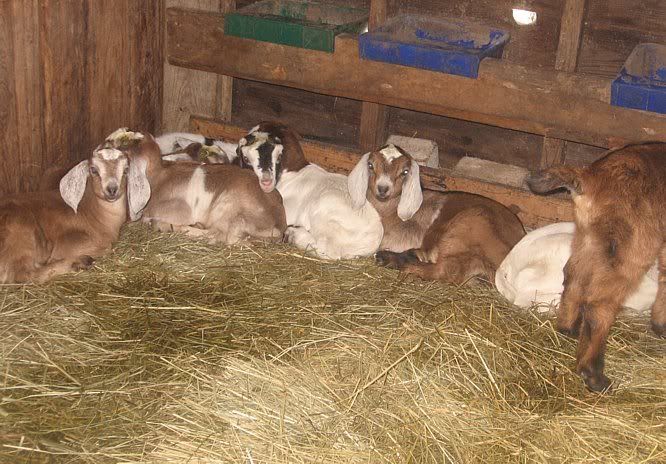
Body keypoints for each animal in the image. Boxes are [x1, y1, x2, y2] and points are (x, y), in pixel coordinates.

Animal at [0, 129, 150, 284]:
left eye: (126, 170)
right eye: (93, 170)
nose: (112, 189)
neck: (95, 214)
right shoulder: (69, 243)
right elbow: (107, 247)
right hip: (21, 233)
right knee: (22, 274)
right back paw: (79, 262)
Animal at [235, 122, 383, 259]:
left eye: (278, 156)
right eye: (246, 158)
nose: (267, 182)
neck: (292, 173)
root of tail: (371, 242)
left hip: (324, 214)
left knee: (329, 251)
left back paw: (295, 235)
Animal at [348, 144, 525, 284]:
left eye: (404, 171)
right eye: (370, 165)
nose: (383, 188)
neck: (389, 211)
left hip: (467, 226)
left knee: (446, 270)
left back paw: (399, 264)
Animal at [527, 141, 666, 392]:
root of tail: (591, 175)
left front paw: (660, 325)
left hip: (588, 237)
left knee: (572, 275)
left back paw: (568, 328)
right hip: (631, 247)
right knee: (600, 304)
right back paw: (593, 374)